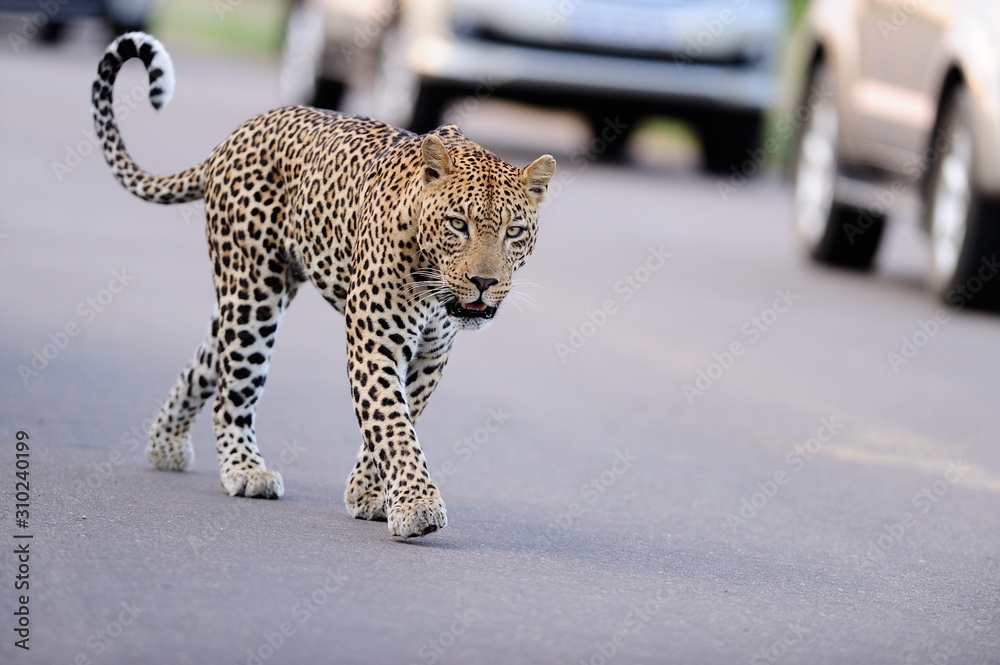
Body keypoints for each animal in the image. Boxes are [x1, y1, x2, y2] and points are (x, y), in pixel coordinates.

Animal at [93, 33, 556, 536]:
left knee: (208, 359)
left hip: (250, 293)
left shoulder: (431, 354)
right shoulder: (376, 342)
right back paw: (245, 470)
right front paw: (416, 505)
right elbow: (392, 423)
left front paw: (368, 495)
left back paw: (165, 443)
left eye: (513, 231)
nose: (484, 282)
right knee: (233, 389)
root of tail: (236, 135)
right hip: (254, 296)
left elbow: (396, 419)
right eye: (458, 224)